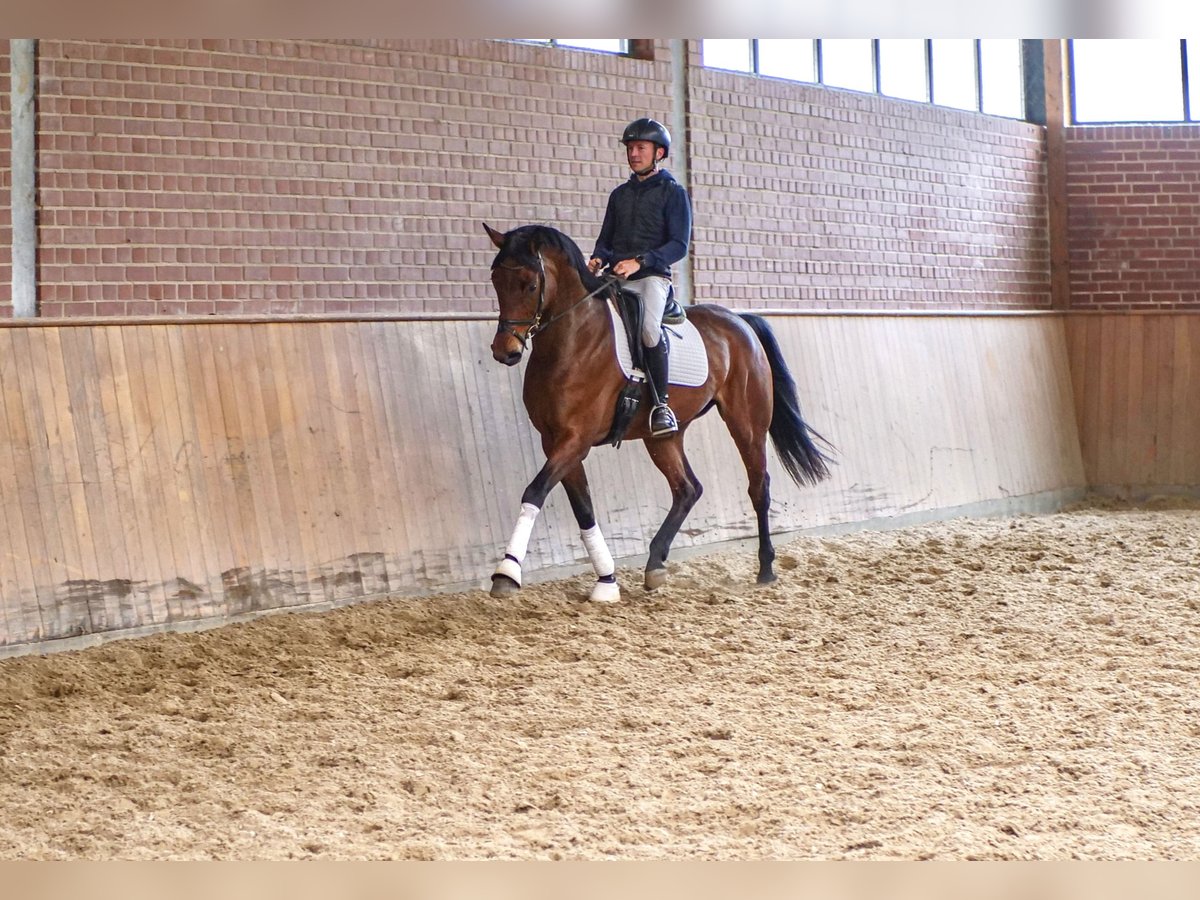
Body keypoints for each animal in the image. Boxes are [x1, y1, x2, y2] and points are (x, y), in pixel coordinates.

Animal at [482, 222, 833, 602]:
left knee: (759, 486)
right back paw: (655, 564)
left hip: (746, 423)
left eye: (530, 284)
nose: (505, 351)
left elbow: (534, 492)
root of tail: (739, 321)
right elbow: (583, 508)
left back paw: (766, 567)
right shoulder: (555, 441)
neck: (572, 339)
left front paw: (507, 572)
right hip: (663, 437)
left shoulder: (576, 439)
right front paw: (607, 581)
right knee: (687, 488)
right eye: (495, 279)